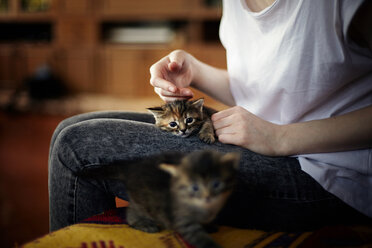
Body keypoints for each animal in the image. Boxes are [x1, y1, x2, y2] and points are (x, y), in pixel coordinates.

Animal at [79, 149, 240, 248]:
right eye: (194, 187)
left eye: (216, 184)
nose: (207, 197)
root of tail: (132, 168)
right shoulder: (182, 218)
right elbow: (198, 236)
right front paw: (211, 244)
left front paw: (209, 225)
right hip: (142, 201)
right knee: (132, 213)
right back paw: (143, 223)